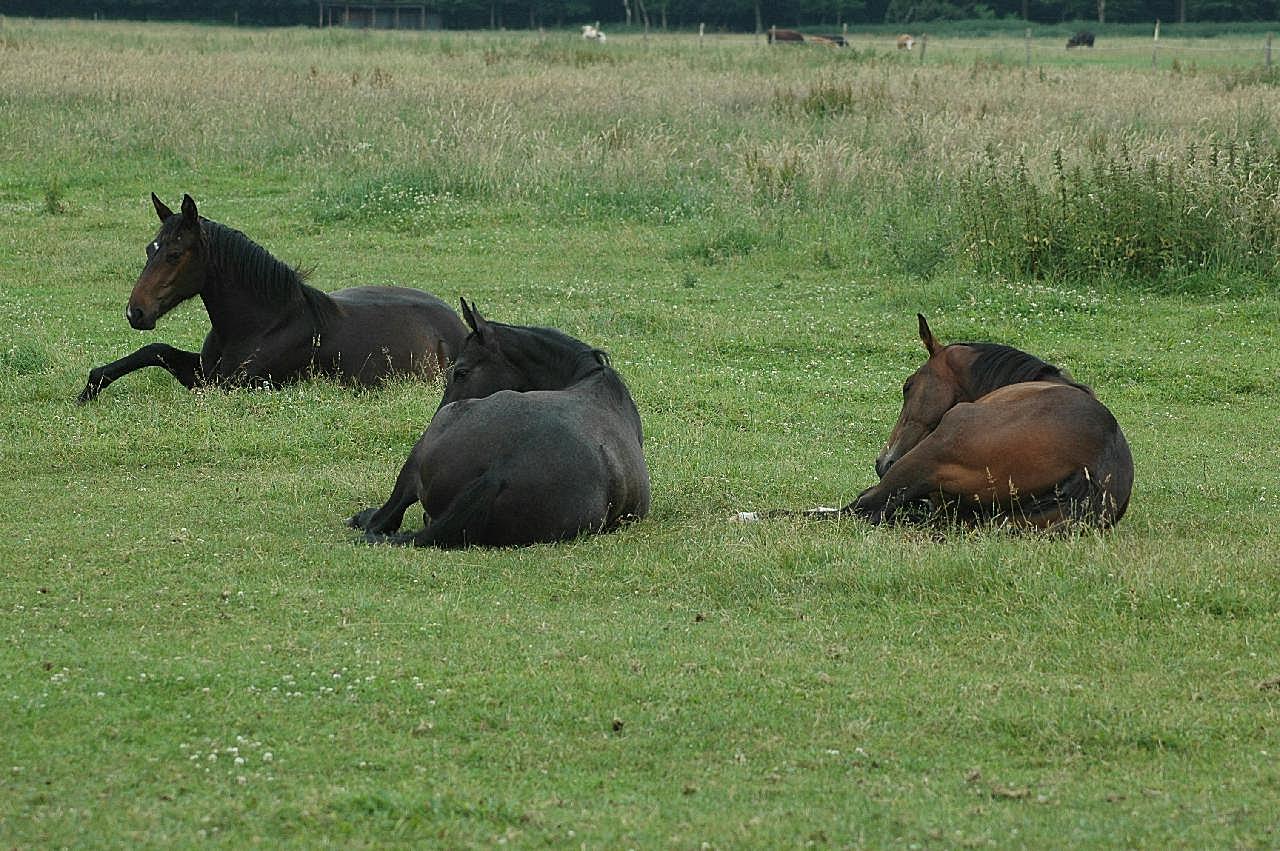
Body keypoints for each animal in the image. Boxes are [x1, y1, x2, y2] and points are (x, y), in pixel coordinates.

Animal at [74, 194, 468, 404]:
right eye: (149, 249)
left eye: (173, 254)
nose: (135, 312)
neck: (262, 323)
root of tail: (458, 323)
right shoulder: (204, 371)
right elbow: (156, 350)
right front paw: (88, 390)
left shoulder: (234, 386)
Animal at [737, 314, 1136, 527]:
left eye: (907, 386)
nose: (883, 461)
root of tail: (1090, 471)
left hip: (927, 455)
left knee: (858, 509)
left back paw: (747, 515)